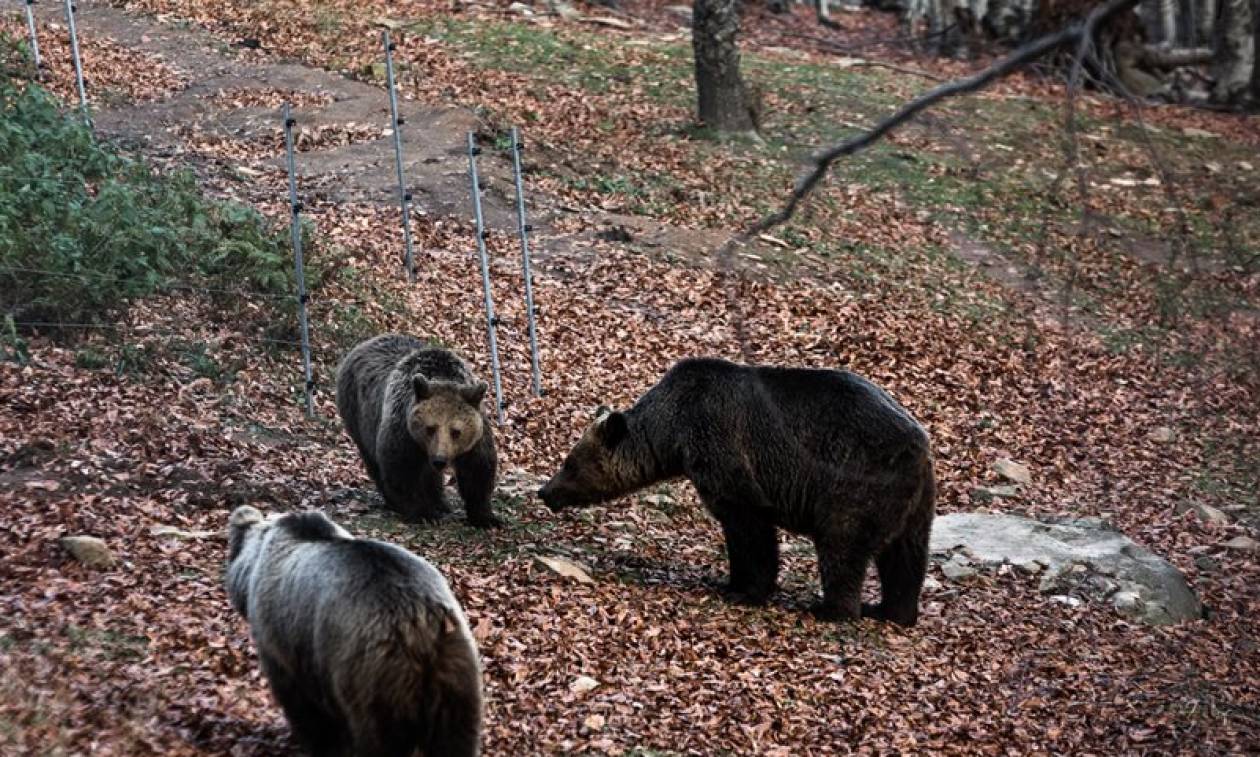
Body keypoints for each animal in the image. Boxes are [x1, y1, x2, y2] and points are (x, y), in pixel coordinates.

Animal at [226, 501, 481, 755]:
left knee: (379, 737)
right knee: (455, 739)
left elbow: (303, 706)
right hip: (454, 671)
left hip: (374, 675)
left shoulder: (285, 639)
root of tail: (418, 624)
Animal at [337, 332, 498, 529]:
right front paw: (424, 513)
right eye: (430, 428)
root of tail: (365, 343)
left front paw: (486, 518)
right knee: (372, 459)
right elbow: (403, 469)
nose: (440, 460)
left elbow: (478, 470)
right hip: (357, 412)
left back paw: (441, 503)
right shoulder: (403, 429)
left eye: (456, 431)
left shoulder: (477, 436)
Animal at [536, 357, 932, 622]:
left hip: (856, 479)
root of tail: (920, 443)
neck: (672, 432)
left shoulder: (724, 447)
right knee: (905, 554)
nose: (545, 491)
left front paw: (744, 588)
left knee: (842, 543)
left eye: (569, 463)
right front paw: (733, 582)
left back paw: (831, 609)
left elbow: (749, 528)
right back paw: (891, 610)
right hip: (915, 500)